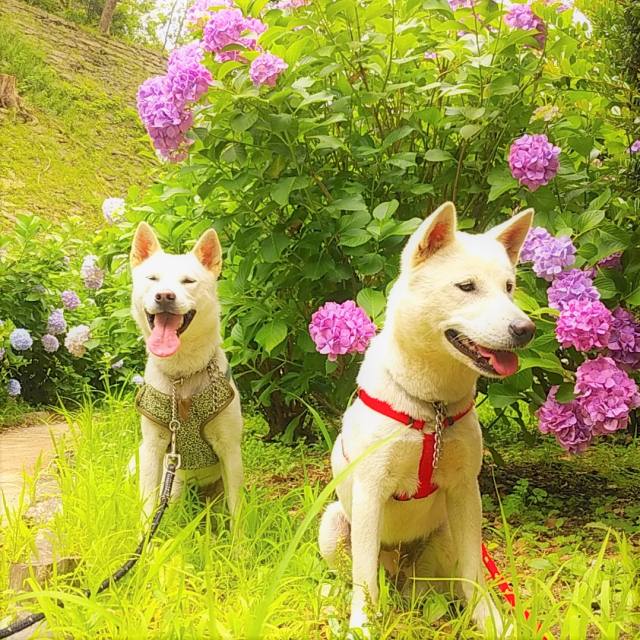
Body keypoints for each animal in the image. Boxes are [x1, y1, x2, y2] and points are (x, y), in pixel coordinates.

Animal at [129, 222, 242, 524]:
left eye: (188, 281)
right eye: (152, 278)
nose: (165, 296)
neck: (181, 376)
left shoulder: (230, 449)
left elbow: (237, 510)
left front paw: (240, 539)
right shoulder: (152, 448)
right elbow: (146, 507)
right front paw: (146, 537)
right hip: (171, 484)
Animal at [318, 202, 536, 632]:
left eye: (509, 287)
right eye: (466, 286)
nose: (526, 328)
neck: (430, 404)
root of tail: (400, 569)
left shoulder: (466, 491)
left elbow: (474, 574)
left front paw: (491, 621)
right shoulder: (369, 492)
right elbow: (364, 580)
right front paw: (361, 626)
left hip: (446, 534)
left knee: (433, 588)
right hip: (334, 524)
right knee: (353, 578)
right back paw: (339, 602)